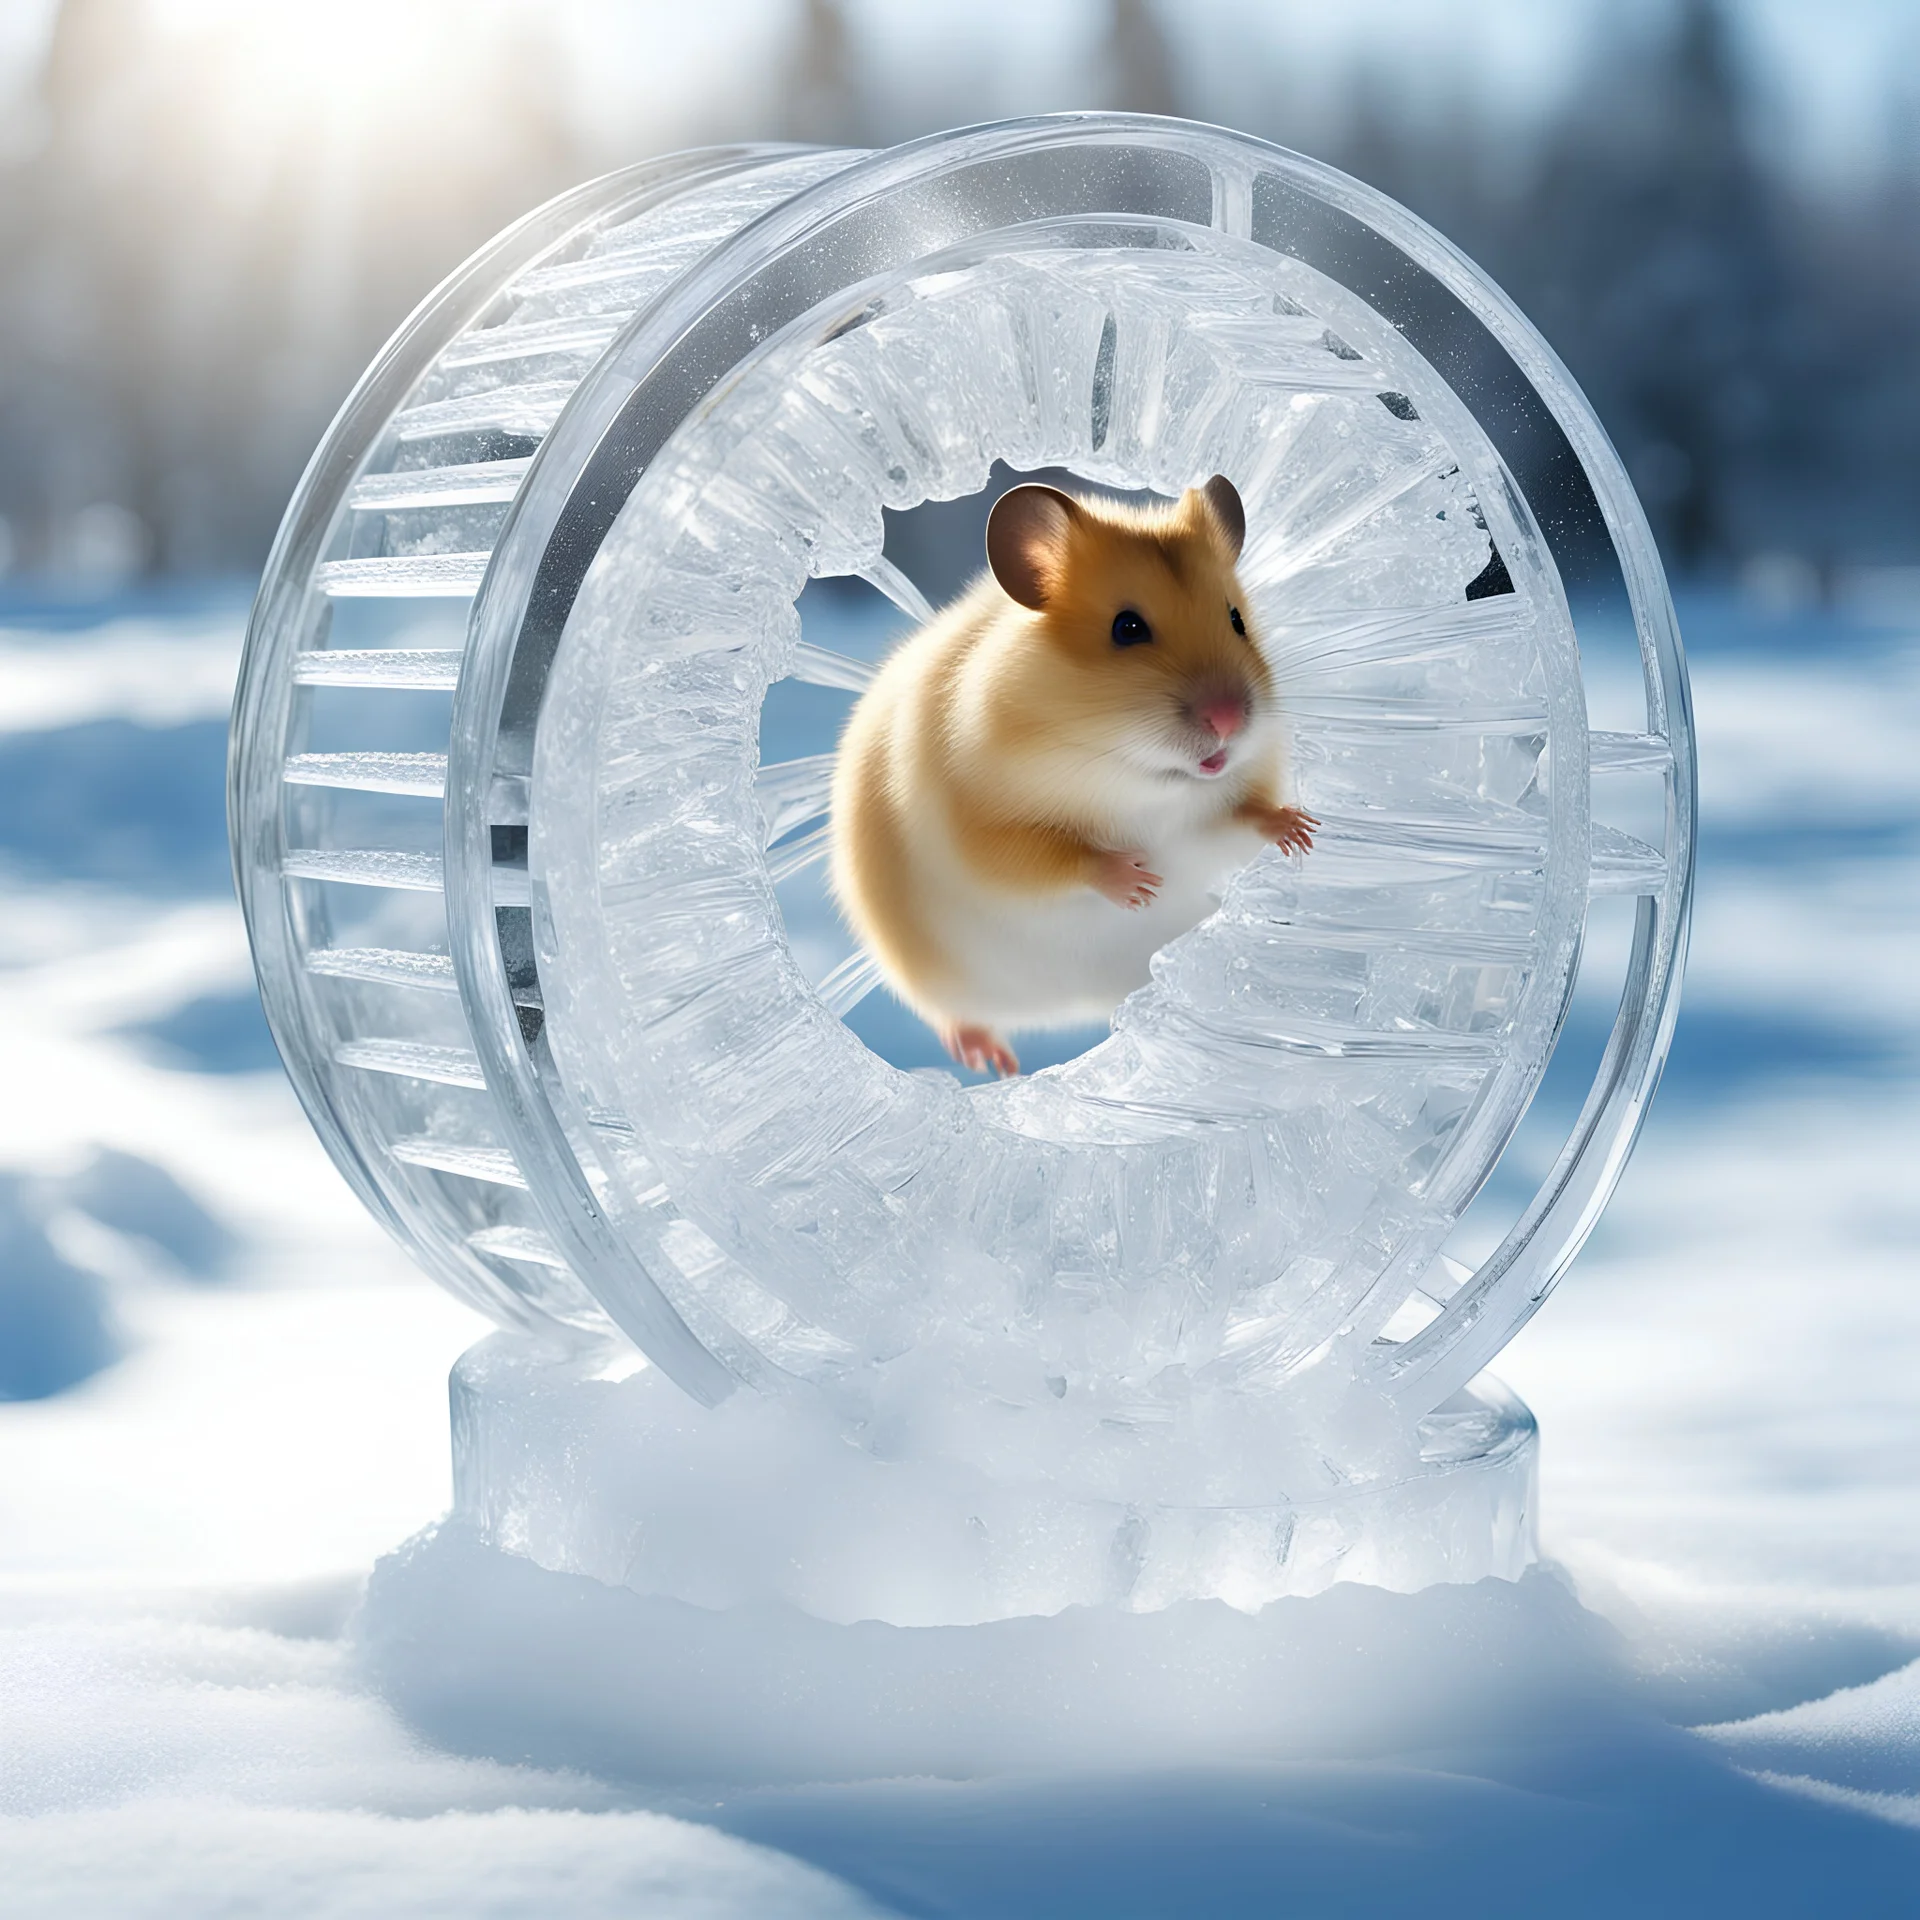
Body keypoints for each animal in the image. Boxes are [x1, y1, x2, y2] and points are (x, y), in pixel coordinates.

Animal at [833, 476, 1313, 1082]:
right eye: (1127, 628)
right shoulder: (977, 827)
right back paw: (993, 1062)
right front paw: (1138, 883)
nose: (1228, 720)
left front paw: (1301, 830)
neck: (1129, 776)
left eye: (1236, 620)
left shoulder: (1207, 818)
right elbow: (1051, 858)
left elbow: (1243, 818)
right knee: (954, 1013)